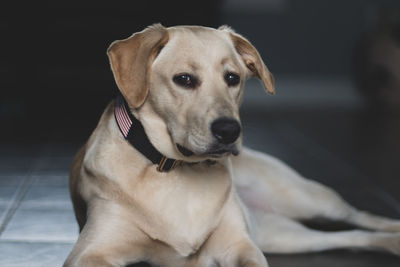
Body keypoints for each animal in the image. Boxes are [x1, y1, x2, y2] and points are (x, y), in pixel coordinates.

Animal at [65, 24, 400, 266]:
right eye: (184, 79)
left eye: (232, 78)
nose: (229, 131)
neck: (176, 170)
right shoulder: (90, 253)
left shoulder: (241, 246)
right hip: (281, 235)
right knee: (350, 236)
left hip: (306, 199)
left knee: (358, 216)